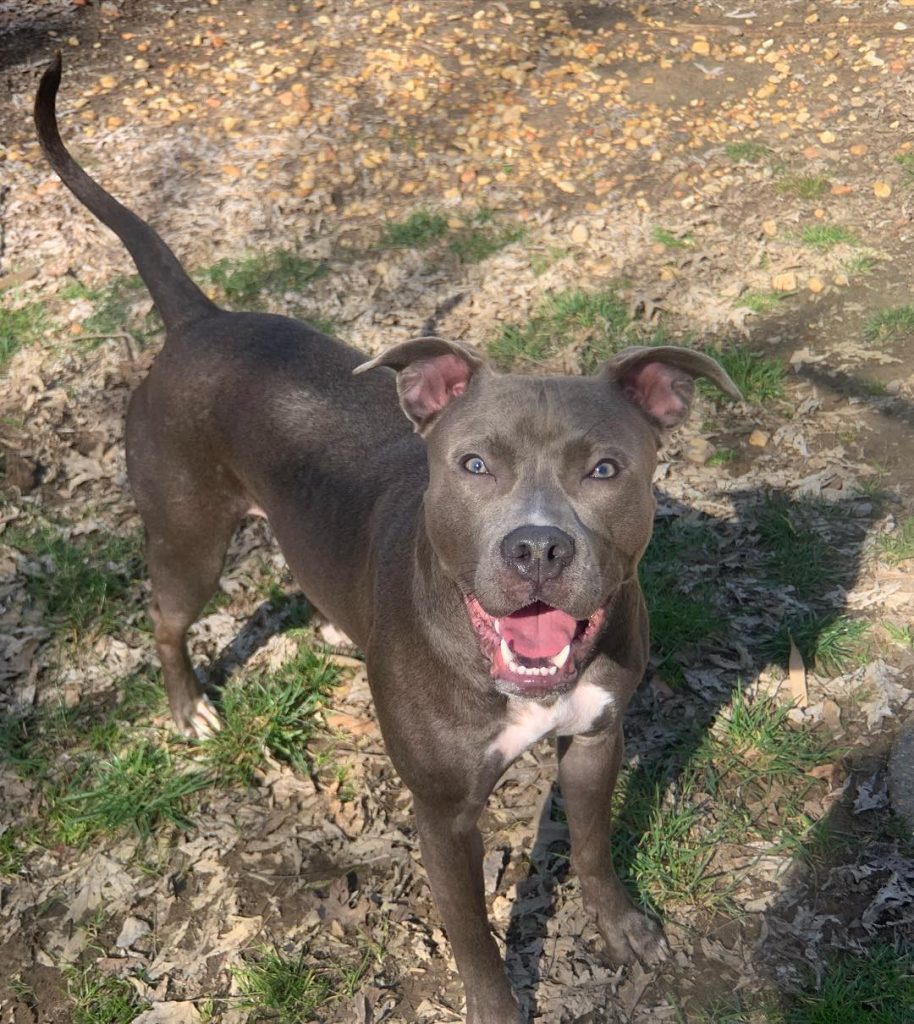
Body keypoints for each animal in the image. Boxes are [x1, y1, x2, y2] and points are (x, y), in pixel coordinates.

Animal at [35, 56, 741, 1024]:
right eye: (474, 464)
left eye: (605, 469)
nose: (537, 549)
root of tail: (201, 320)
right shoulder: (445, 815)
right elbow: (475, 938)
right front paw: (498, 1004)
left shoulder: (598, 741)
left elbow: (594, 848)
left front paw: (622, 927)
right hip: (189, 538)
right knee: (167, 618)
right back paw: (189, 707)